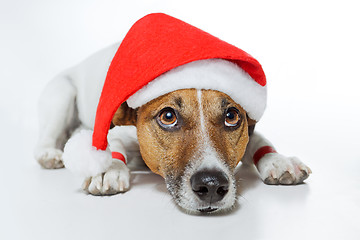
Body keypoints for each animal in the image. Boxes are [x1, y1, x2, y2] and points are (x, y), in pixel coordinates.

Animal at [33, 14, 310, 214]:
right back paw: (50, 154)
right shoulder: (118, 131)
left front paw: (278, 160)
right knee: (48, 136)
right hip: (62, 94)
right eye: (168, 117)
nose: (211, 185)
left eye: (231, 116)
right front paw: (108, 168)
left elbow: (258, 139)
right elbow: (112, 145)